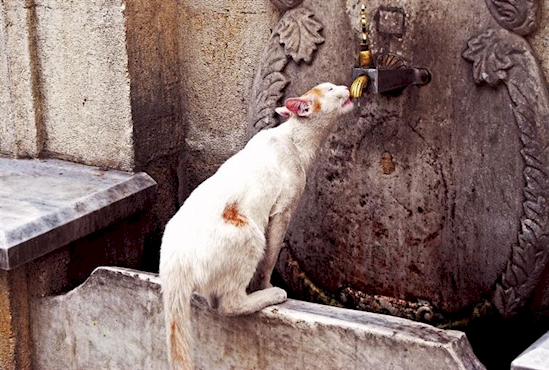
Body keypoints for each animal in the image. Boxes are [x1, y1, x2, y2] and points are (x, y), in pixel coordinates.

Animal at [161, 82, 354, 368]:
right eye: (331, 89)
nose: (344, 87)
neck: (297, 141)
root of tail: (172, 264)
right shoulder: (282, 212)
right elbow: (270, 261)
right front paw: (265, 287)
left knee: (213, 300)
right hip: (250, 235)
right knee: (229, 304)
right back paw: (271, 296)